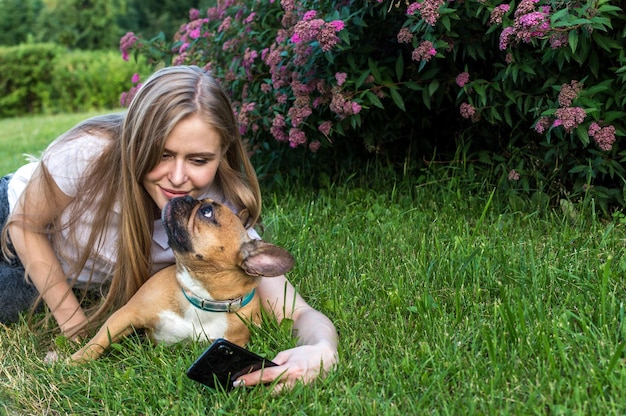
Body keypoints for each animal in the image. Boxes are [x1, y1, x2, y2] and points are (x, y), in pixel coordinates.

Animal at [70, 197, 292, 362]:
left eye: (207, 211)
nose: (186, 196)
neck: (203, 297)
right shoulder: (127, 314)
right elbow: (99, 340)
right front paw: (74, 361)